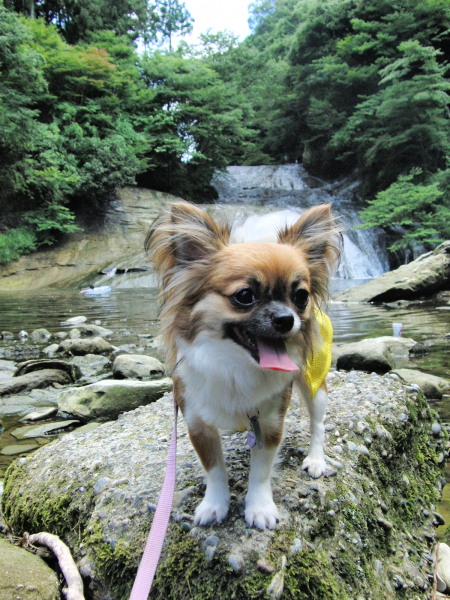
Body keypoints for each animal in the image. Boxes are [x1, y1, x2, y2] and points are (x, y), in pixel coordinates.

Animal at [146, 201, 341, 530]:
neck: (234, 364)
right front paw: (214, 505)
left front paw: (259, 508)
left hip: (315, 385)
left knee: (318, 423)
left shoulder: (270, 424)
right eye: (245, 296)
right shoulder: (197, 424)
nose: (287, 318)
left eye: (301, 296)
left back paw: (316, 460)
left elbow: (260, 472)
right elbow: (214, 469)